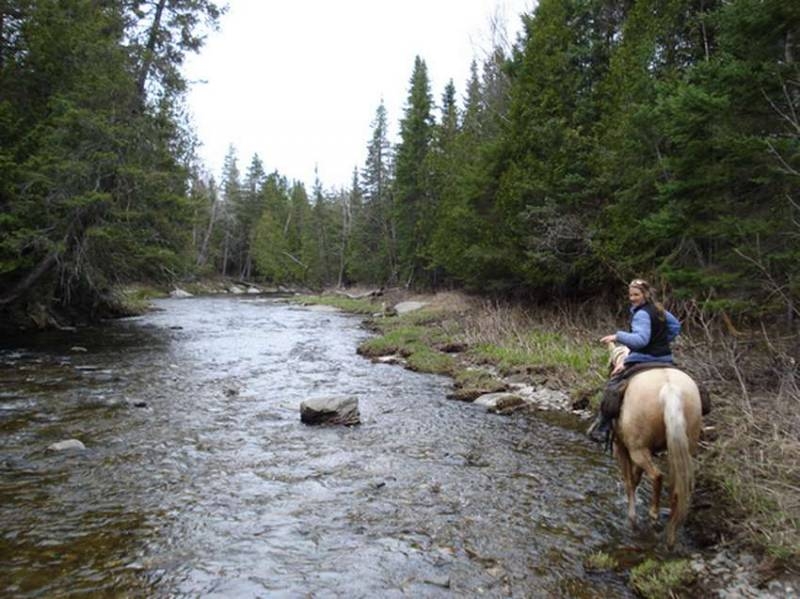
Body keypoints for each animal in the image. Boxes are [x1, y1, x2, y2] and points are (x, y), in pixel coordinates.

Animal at [608, 342, 700, 548]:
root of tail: (670, 389)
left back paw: (651, 515)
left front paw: (632, 513)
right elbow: (636, 478)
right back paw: (670, 537)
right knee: (677, 490)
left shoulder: (622, 447)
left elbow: (630, 481)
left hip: (638, 450)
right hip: (682, 448)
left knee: (657, 476)